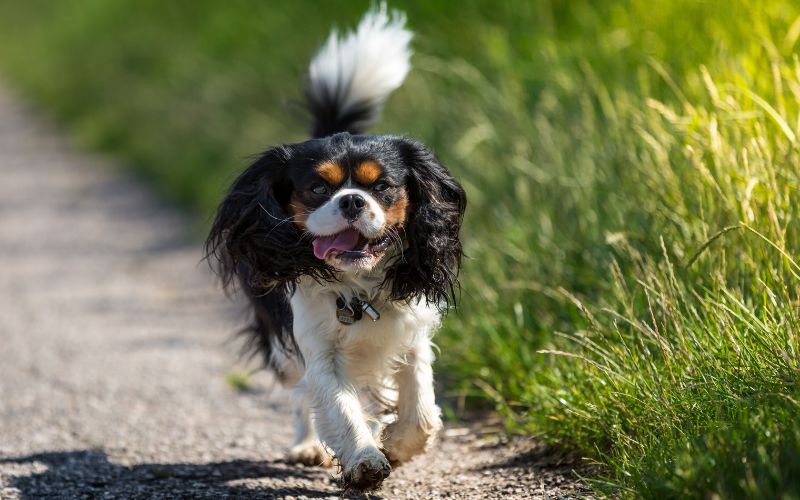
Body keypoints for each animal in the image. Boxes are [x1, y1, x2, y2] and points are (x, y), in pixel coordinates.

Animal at [206, 3, 466, 492]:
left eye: (382, 186)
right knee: (299, 394)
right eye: (315, 189)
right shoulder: (316, 348)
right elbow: (339, 406)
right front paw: (365, 460)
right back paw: (307, 446)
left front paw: (397, 444)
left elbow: (421, 408)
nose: (351, 200)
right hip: (282, 346)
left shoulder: (412, 334)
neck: (359, 286)